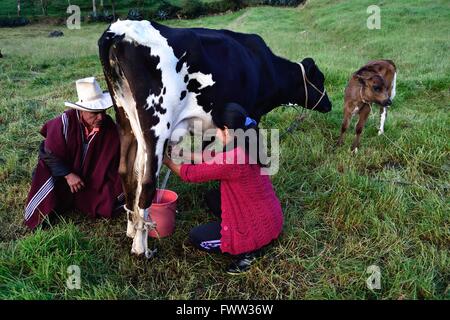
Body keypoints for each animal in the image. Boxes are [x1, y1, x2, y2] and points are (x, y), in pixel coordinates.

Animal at [97, 19, 330, 255]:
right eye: (320, 79)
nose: (329, 104)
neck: (265, 66)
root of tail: (120, 30)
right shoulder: (251, 113)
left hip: (125, 119)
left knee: (126, 171)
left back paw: (131, 229)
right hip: (157, 125)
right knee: (146, 182)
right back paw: (140, 248)